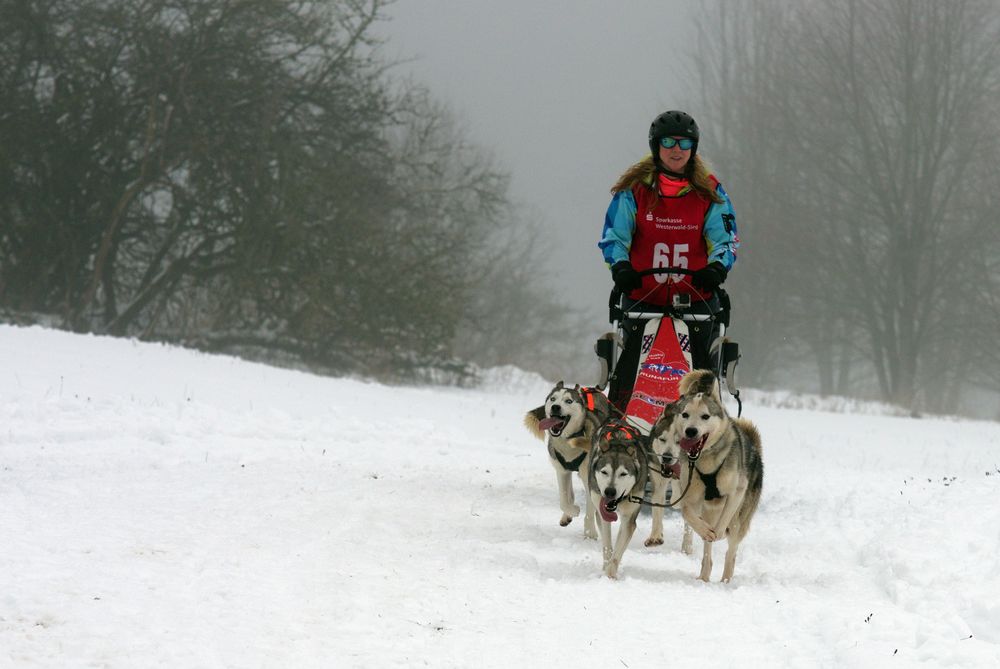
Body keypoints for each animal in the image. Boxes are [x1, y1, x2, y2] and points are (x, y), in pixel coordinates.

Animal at [528, 380, 612, 536]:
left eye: (568, 401)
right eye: (553, 399)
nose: (555, 407)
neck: (568, 441)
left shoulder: (589, 478)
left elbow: (590, 508)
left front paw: (590, 532)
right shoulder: (562, 471)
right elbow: (563, 500)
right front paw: (572, 511)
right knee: (570, 495)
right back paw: (567, 515)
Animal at [584, 420, 648, 576]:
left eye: (623, 474)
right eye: (604, 472)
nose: (610, 492)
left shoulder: (629, 519)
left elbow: (617, 552)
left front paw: (610, 574)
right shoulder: (603, 514)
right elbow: (608, 547)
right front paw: (605, 569)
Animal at [660, 368, 760, 580]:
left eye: (705, 416)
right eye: (685, 414)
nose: (691, 431)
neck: (705, 461)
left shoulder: (737, 490)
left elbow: (725, 518)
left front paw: (719, 532)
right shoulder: (689, 494)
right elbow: (686, 511)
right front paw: (705, 531)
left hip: (739, 520)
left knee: (731, 552)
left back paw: (725, 580)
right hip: (708, 511)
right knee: (708, 553)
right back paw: (704, 575)